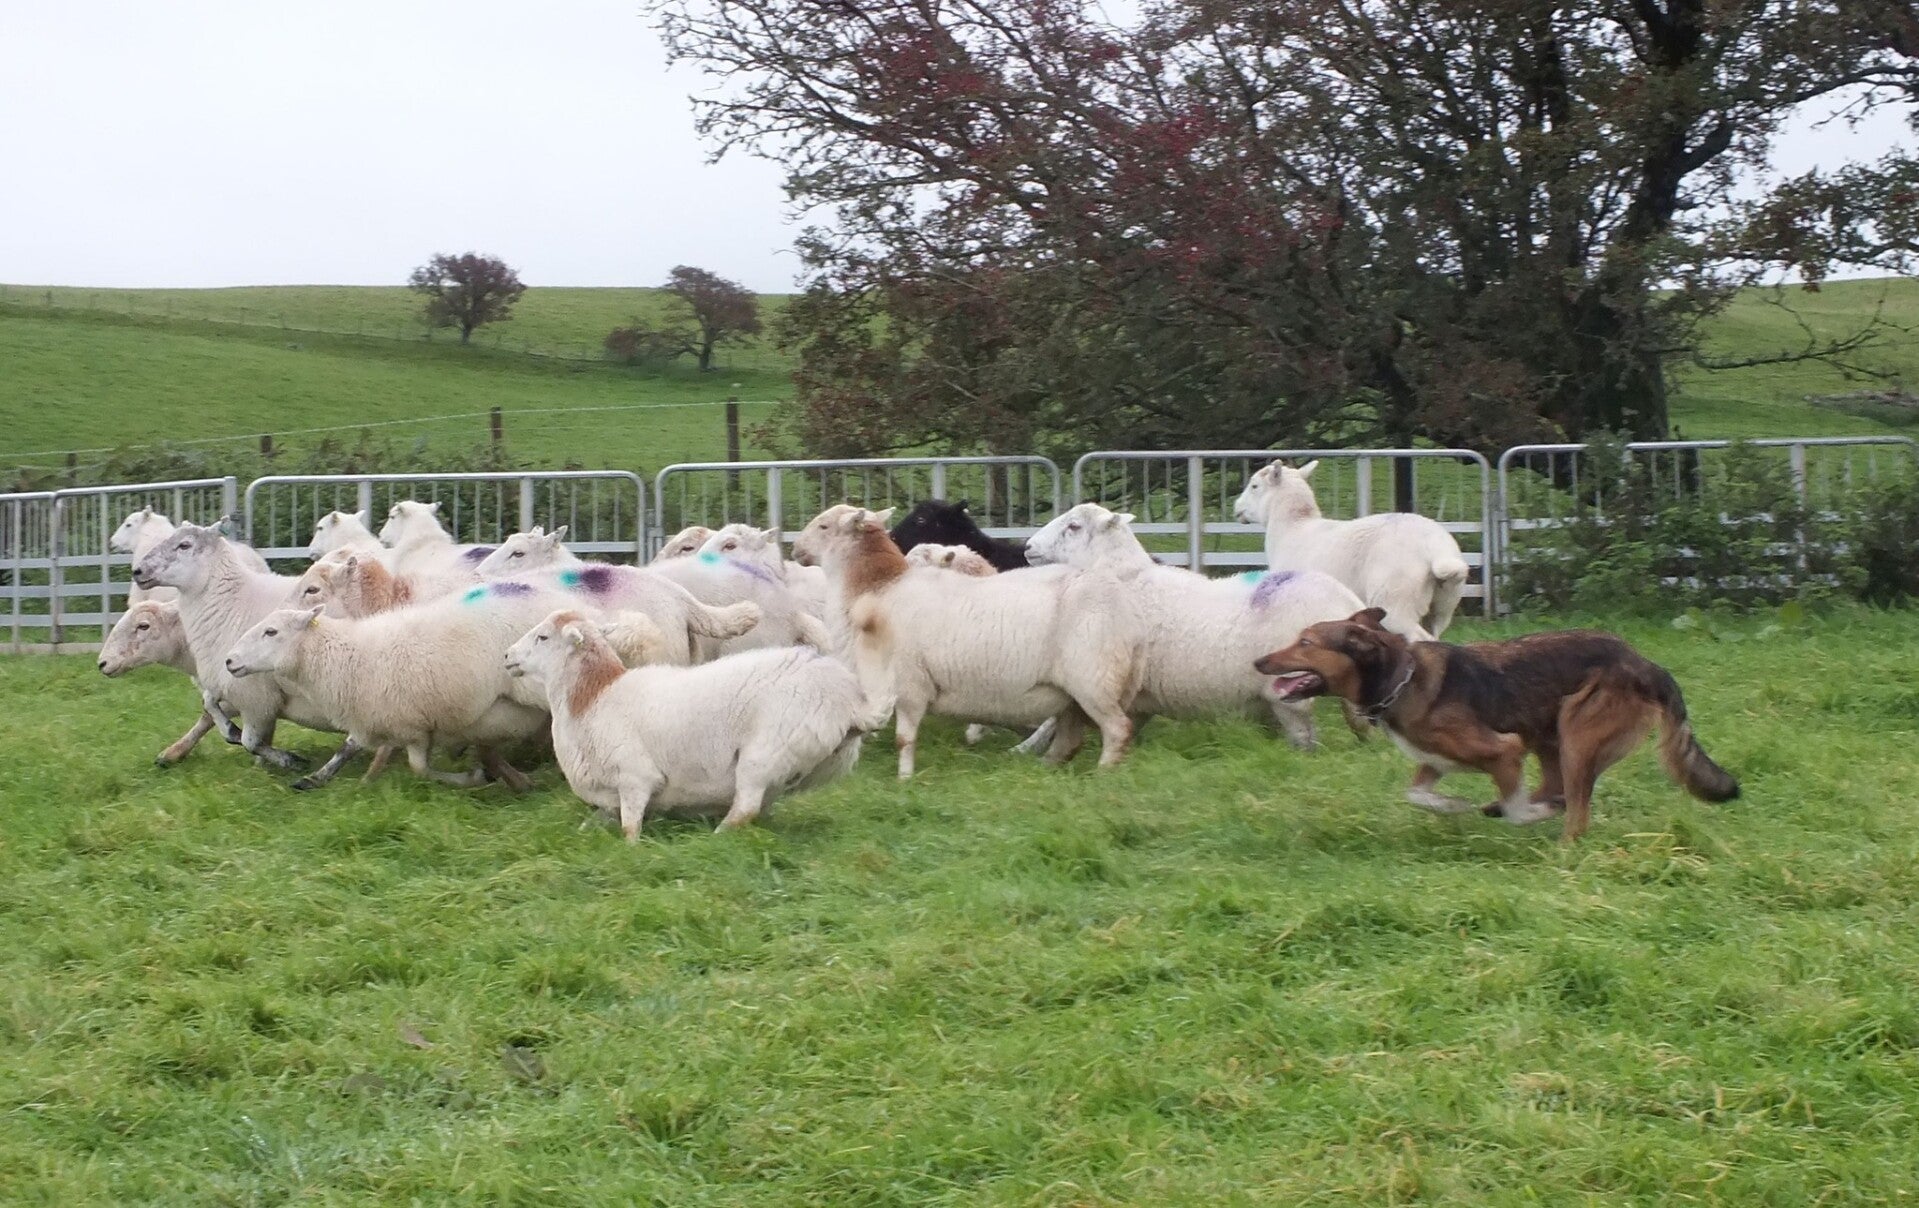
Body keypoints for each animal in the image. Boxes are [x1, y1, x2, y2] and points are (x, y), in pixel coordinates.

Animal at [504, 609, 889, 837]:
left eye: (542, 637)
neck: (593, 699)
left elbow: (630, 829)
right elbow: (596, 821)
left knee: (745, 808)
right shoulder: (609, 796)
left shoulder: (636, 778)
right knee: (758, 809)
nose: (507, 655)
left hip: (765, 753)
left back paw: (717, 838)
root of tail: (850, 701)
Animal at [1026, 502, 1371, 749]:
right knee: (1359, 721)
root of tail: (1347, 602)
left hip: (1288, 692)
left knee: (1305, 736)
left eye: (1074, 526)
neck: (1124, 576)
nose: (1028, 547)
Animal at [1232, 460, 1470, 638]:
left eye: (1254, 486)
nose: (1236, 508)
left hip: (1396, 597)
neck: (1294, 528)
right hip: (1444, 604)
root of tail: (1436, 548)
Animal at [1252, 609, 1739, 842]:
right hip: (1548, 732)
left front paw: (1516, 812)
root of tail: (1645, 663)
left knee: (1576, 811)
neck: (1399, 677)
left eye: (1305, 643)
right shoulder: (1435, 761)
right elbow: (1417, 793)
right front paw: (1453, 806)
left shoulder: (1505, 749)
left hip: (1575, 732)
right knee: (1559, 789)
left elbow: (1519, 809)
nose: (1258, 661)